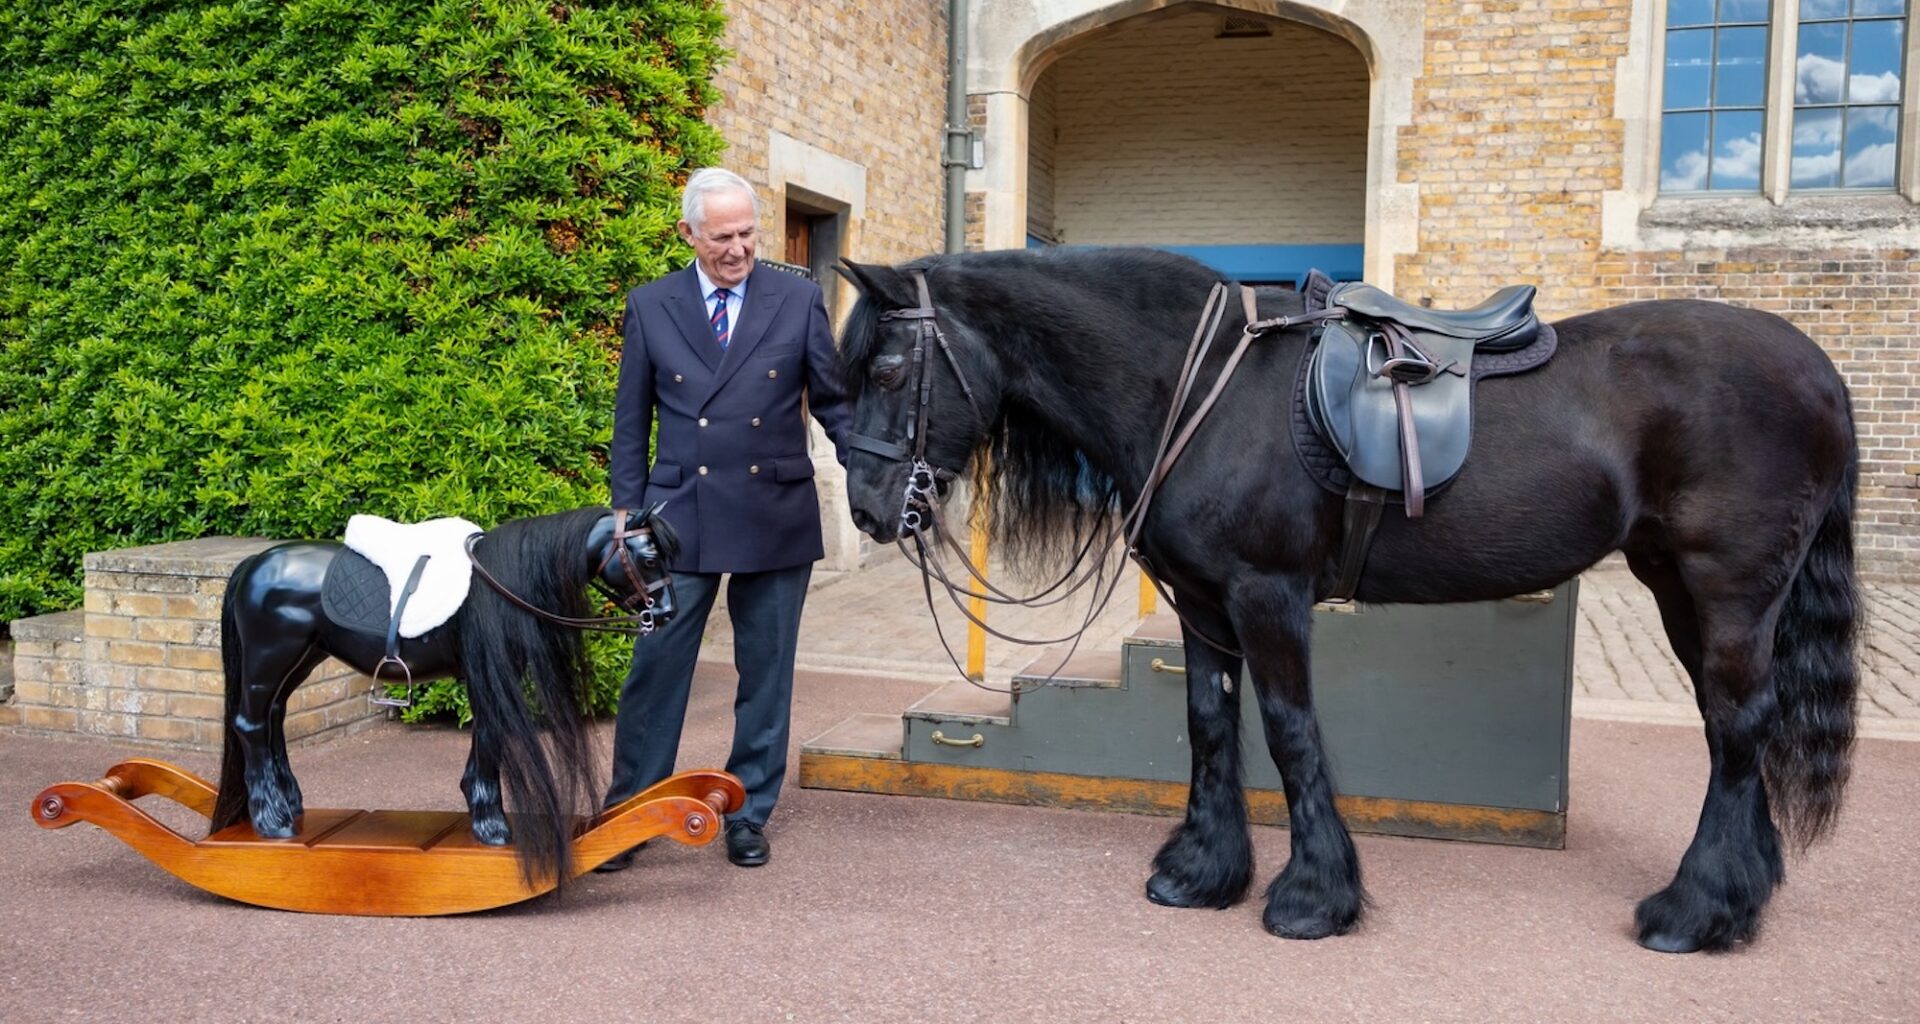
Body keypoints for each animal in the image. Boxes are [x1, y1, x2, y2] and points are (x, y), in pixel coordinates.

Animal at [206, 504, 679, 887]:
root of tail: (254, 563)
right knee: (251, 724)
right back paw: (271, 820)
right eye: (649, 557)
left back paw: (290, 804)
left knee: (273, 717)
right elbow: (490, 737)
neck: (501, 581)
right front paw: (491, 825)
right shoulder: (489, 673)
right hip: (271, 657)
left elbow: (486, 740)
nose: (667, 613)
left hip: (302, 657)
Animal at [834, 248, 1859, 954]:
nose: (870, 510)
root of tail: (1818, 368)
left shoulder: (1268, 596)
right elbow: (1209, 727)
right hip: (1679, 588)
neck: (1202, 384)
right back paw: (1742, 892)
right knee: (1736, 727)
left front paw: (1311, 897)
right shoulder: (1203, 606)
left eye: (886, 370)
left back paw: (1695, 910)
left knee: (1739, 727)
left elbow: (1290, 732)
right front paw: (1202, 873)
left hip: (1727, 590)